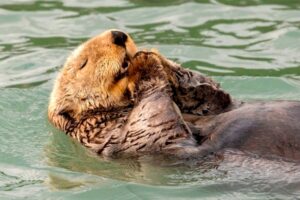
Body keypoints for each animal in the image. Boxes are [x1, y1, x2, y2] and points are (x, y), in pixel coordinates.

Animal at [48, 29, 300, 161]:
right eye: (83, 63)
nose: (118, 35)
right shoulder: (107, 134)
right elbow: (153, 125)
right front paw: (143, 65)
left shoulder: (213, 104)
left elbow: (214, 96)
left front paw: (152, 55)